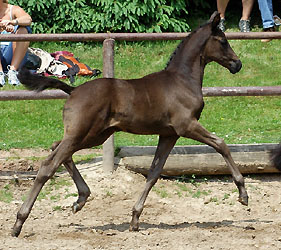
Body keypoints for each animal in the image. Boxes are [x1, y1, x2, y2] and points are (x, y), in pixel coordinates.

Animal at [11, 11, 247, 237]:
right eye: (223, 41)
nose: (237, 64)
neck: (182, 81)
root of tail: (74, 90)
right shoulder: (187, 125)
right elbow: (221, 144)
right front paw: (243, 193)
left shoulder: (169, 134)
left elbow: (154, 173)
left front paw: (135, 218)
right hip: (82, 134)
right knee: (48, 165)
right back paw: (19, 222)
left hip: (94, 135)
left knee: (57, 148)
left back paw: (81, 199)